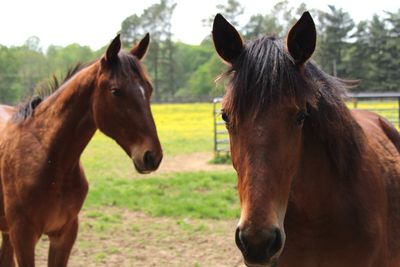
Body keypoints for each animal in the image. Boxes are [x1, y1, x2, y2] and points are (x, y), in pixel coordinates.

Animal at [0, 34, 163, 267]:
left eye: (148, 89)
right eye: (116, 91)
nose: (152, 156)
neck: (50, 160)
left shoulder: (64, 235)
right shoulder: (23, 237)